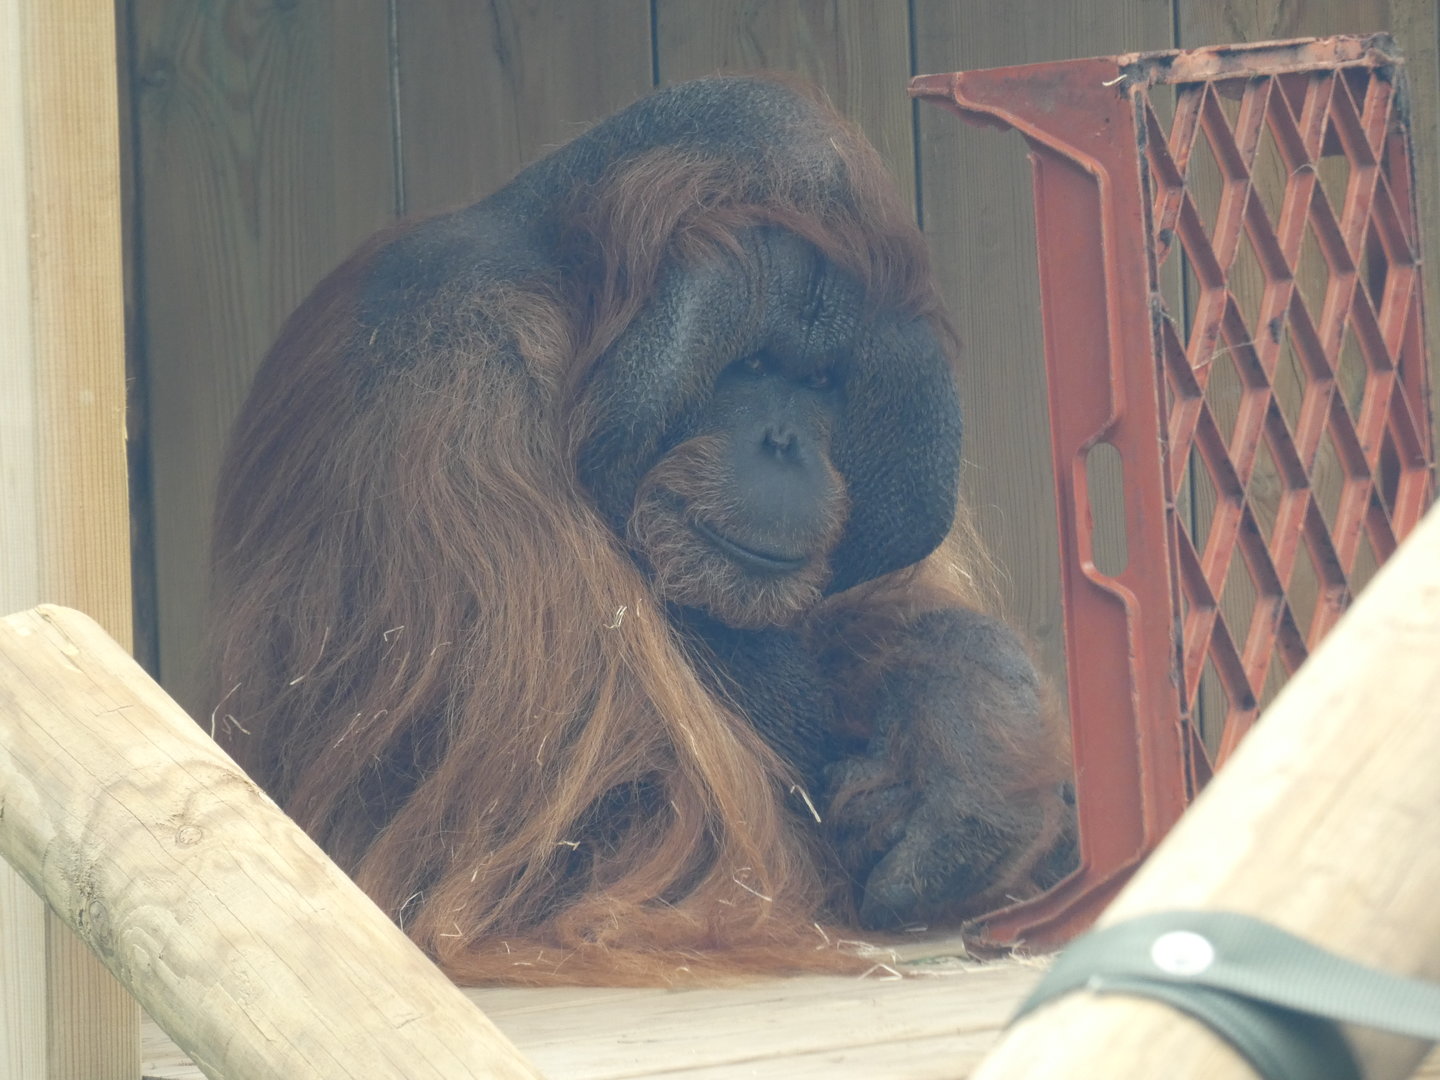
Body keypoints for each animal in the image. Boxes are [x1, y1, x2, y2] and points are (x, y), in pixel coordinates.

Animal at [208, 74, 1073, 986]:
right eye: (752, 365)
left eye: (825, 383)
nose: (785, 444)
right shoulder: (451, 365)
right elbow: (585, 794)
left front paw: (977, 724)